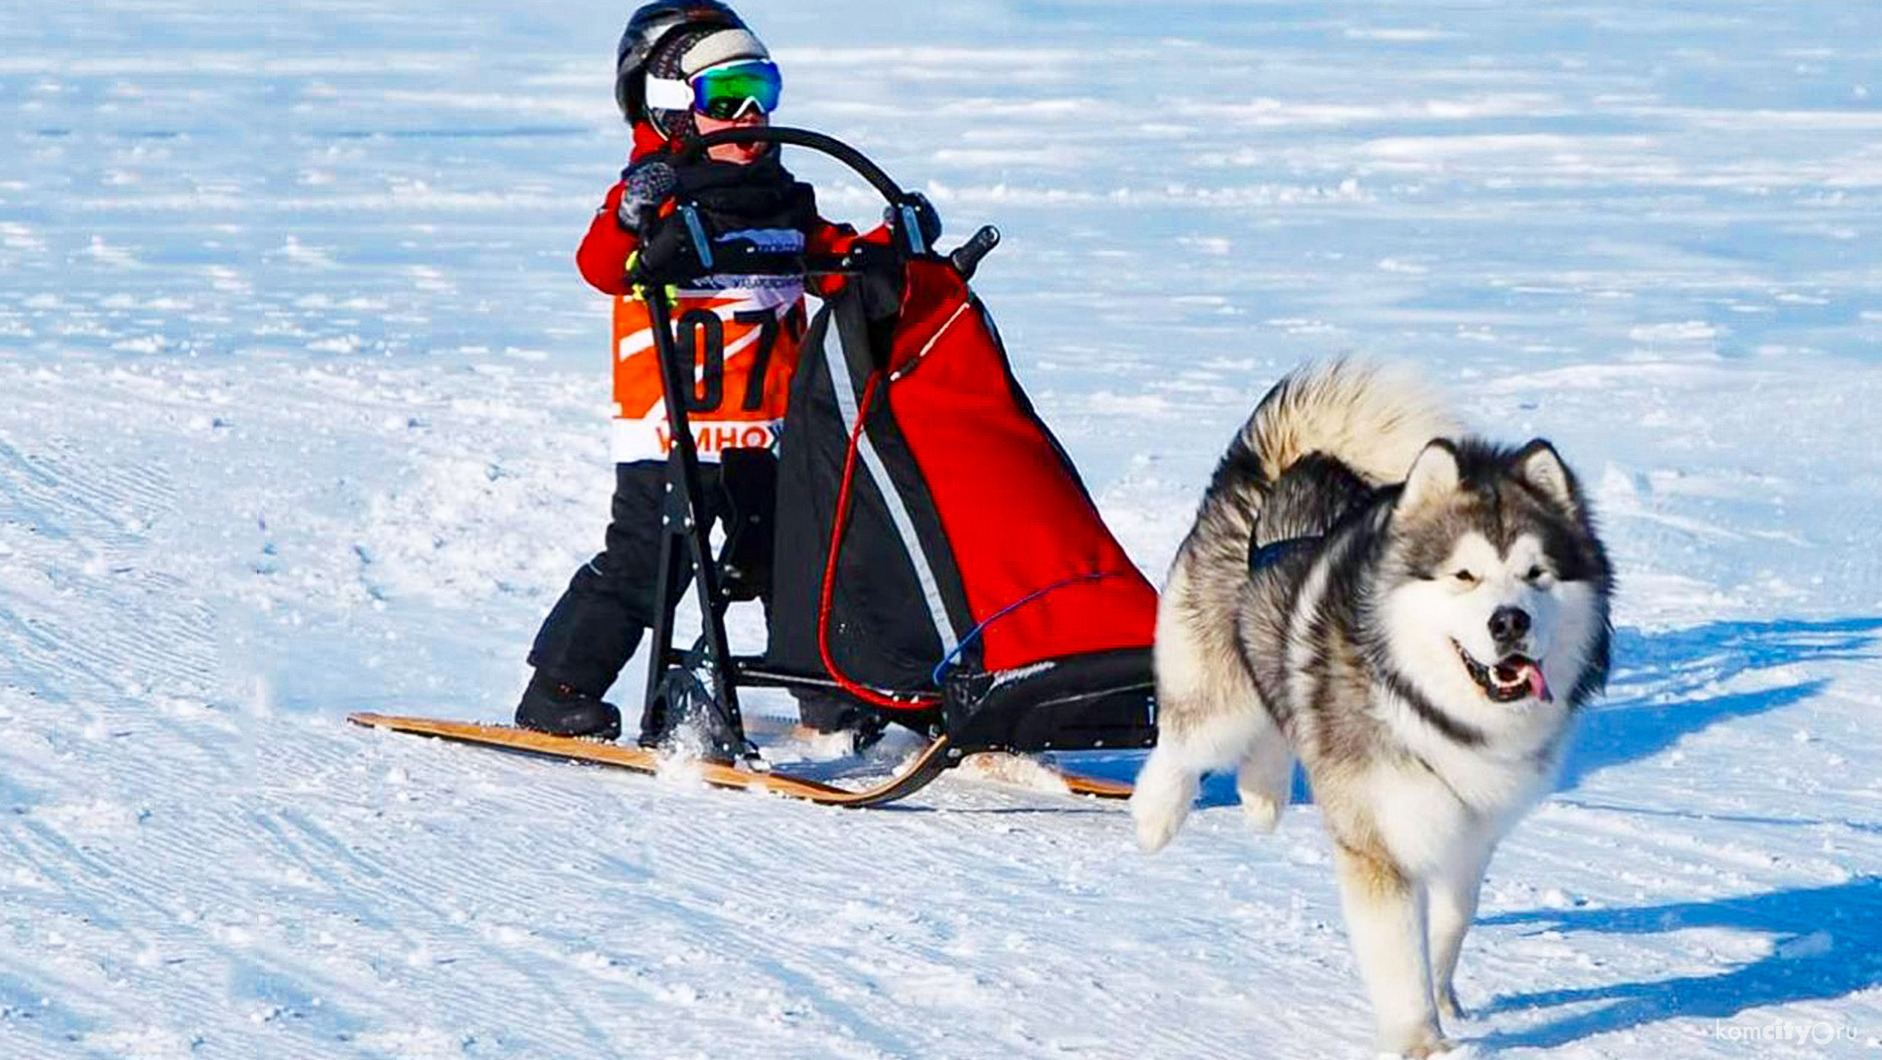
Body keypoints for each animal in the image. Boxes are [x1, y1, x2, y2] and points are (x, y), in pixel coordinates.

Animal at [1129, 361, 1618, 1054]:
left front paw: (1446, 997)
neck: (1438, 717)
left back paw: (1262, 796)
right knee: (1187, 738)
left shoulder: (1469, 837)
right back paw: (1156, 818)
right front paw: (1423, 1040)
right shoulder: (1378, 841)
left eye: (1536, 573)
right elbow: (1400, 957)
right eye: (1464, 575)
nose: (1509, 621)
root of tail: (1278, 463)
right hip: (1214, 690)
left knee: (1280, 712)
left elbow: (1448, 927)